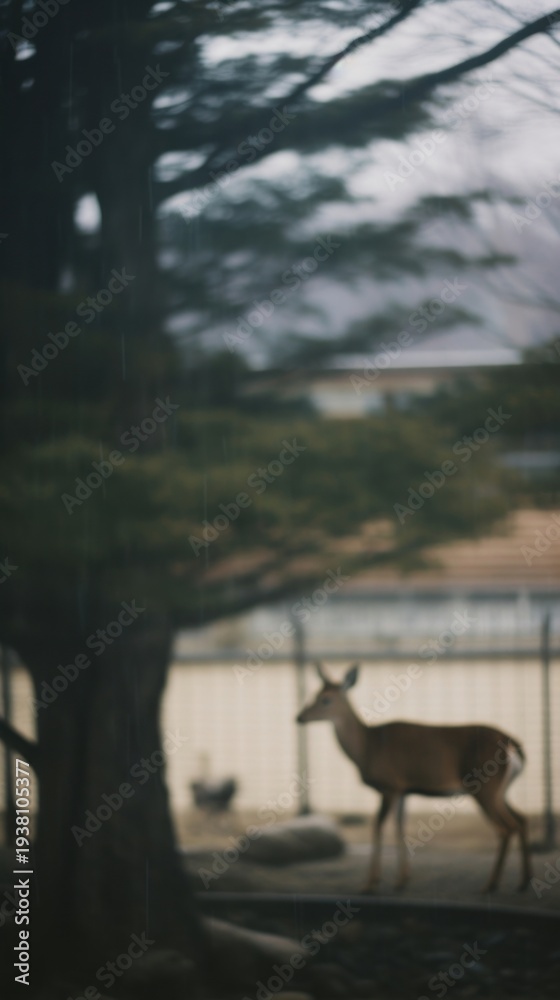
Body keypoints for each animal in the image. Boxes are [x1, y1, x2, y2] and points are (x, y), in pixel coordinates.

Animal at [296, 663, 532, 893]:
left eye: (326, 699)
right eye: (314, 694)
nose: (299, 717)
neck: (368, 747)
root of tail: (512, 743)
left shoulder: (389, 785)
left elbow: (378, 827)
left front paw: (371, 883)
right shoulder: (403, 790)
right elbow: (399, 827)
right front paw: (402, 880)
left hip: (485, 788)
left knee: (506, 828)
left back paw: (491, 884)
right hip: (501, 790)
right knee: (521, 819)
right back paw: (523, 881)